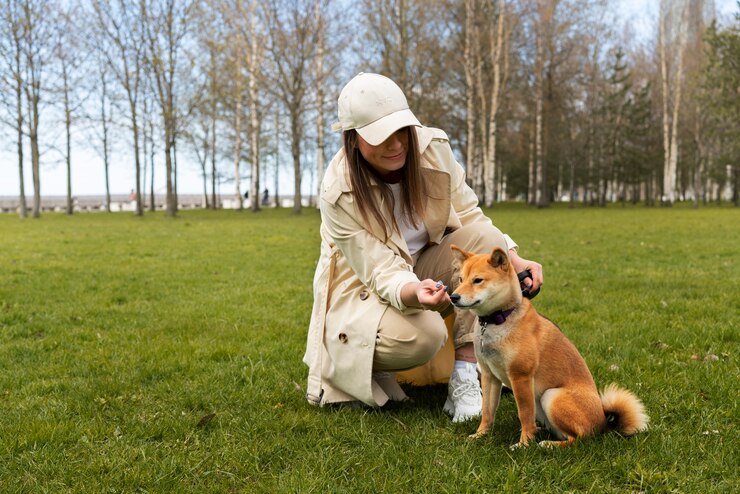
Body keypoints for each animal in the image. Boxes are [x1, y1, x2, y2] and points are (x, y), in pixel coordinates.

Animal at [446, 246, 648, 448]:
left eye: (477, 280)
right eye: (461, 279)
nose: (453, 297)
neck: (499, 319)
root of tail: (604, 425)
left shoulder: (521, 377)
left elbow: (524, 414)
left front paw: (524, 444)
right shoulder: (489, 376)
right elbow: (487, 412)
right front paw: (480, 435)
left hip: (551, 396)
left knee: (579, 438)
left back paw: (549, 444)